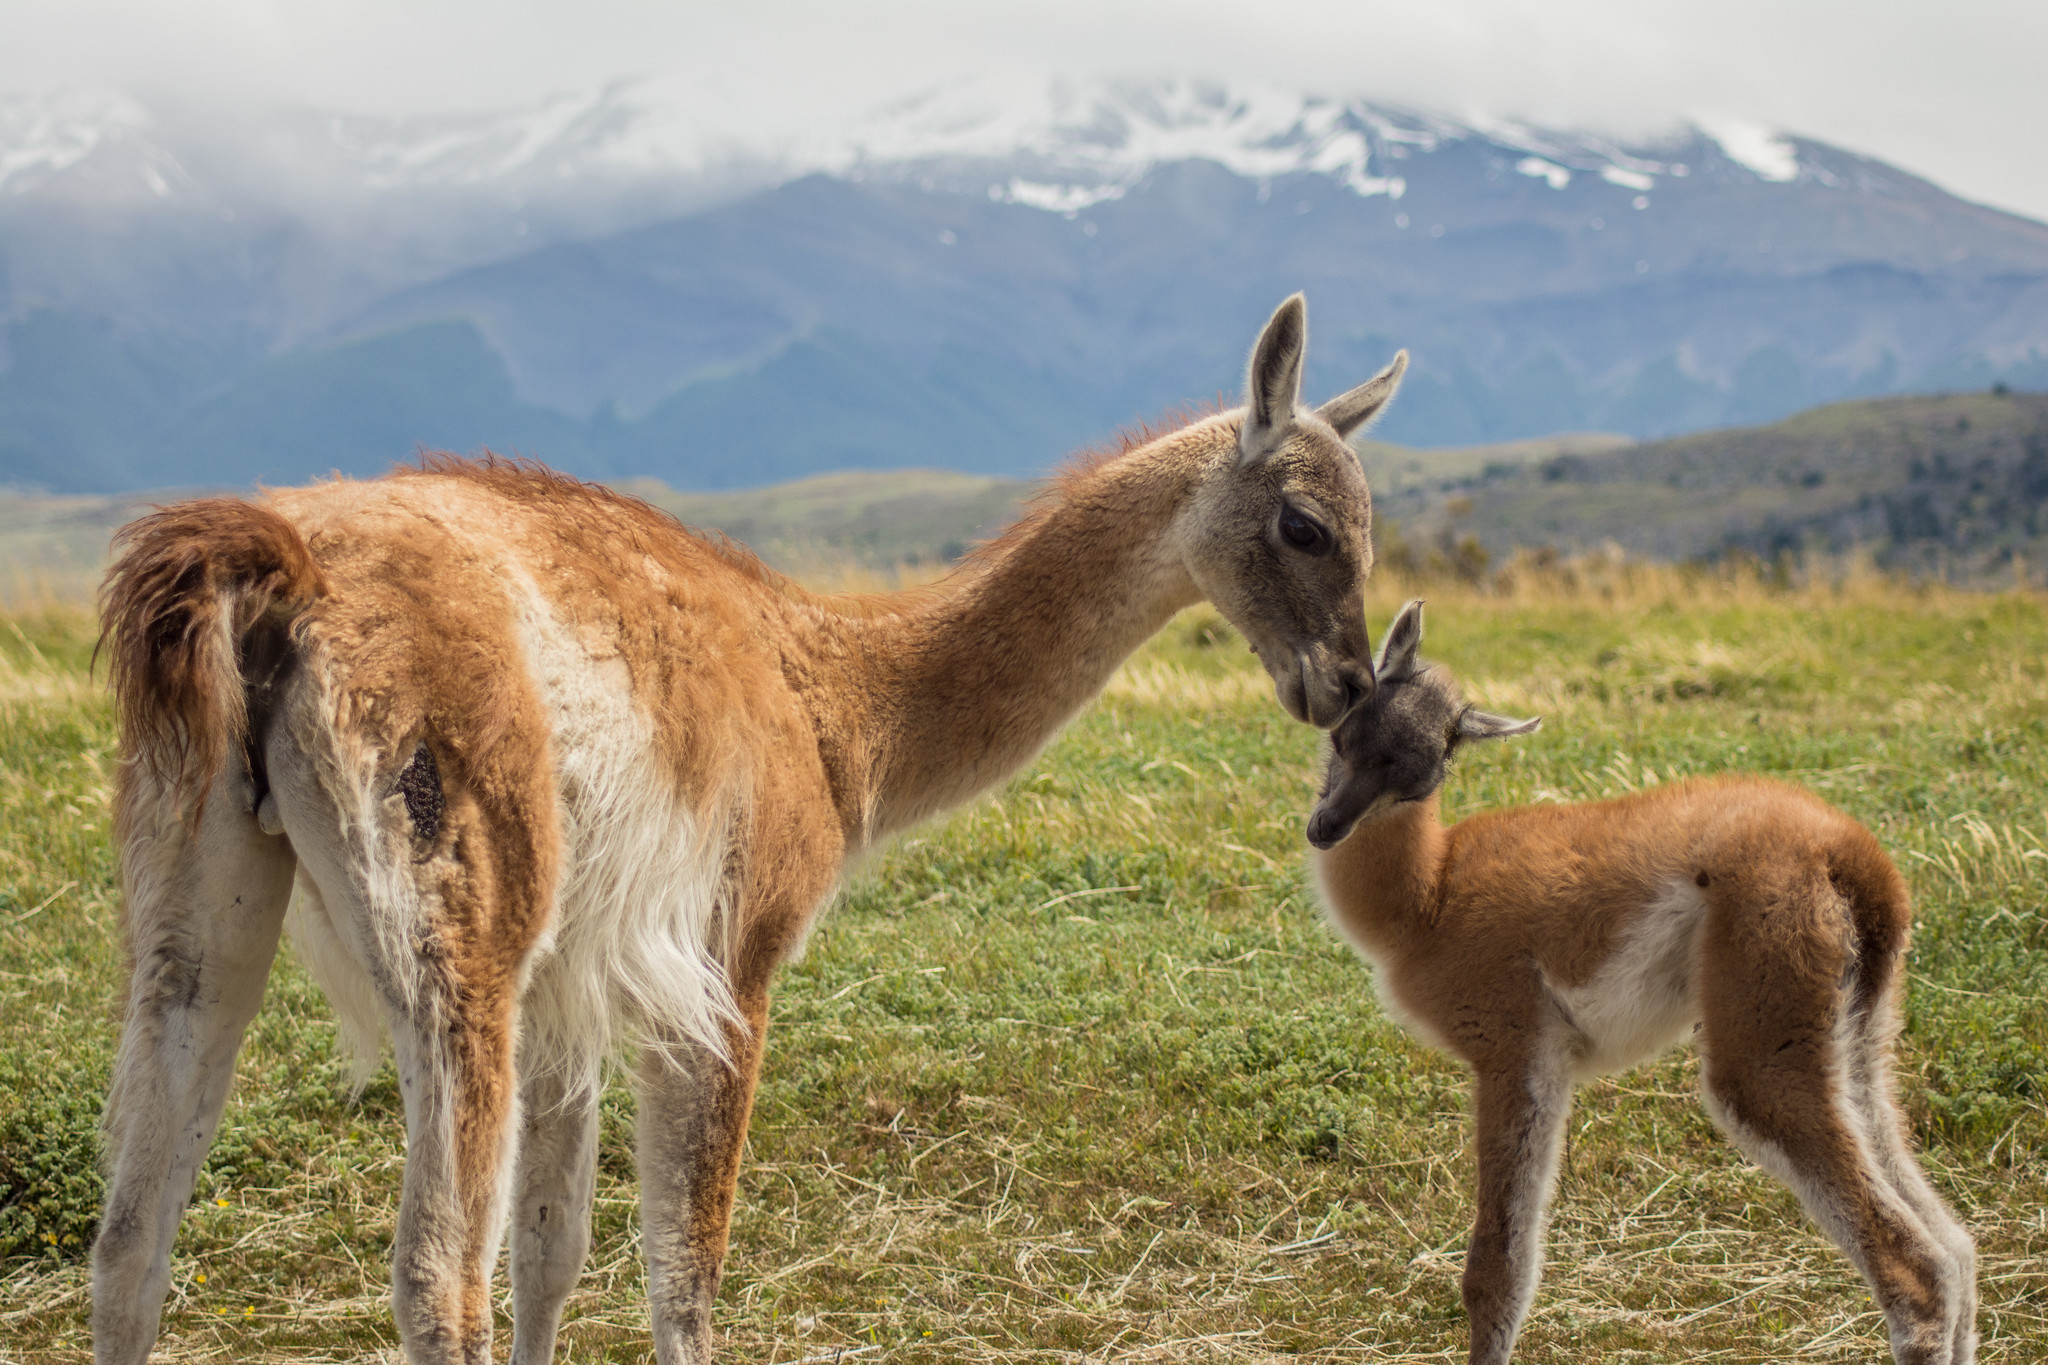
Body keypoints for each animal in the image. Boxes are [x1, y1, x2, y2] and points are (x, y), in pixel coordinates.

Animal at [1302, 601, 1974, 1365]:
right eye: (1345, 733)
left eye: (1424, 775)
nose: (1327, 825)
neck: (1430, 894)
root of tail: (1855, 855)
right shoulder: (1548, 1061)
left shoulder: (1516, 1047)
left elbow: (1496, 1272)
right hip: (1859, 1035)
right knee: (1955, 1249)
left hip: (1765, 1028)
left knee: (1918, 1271)